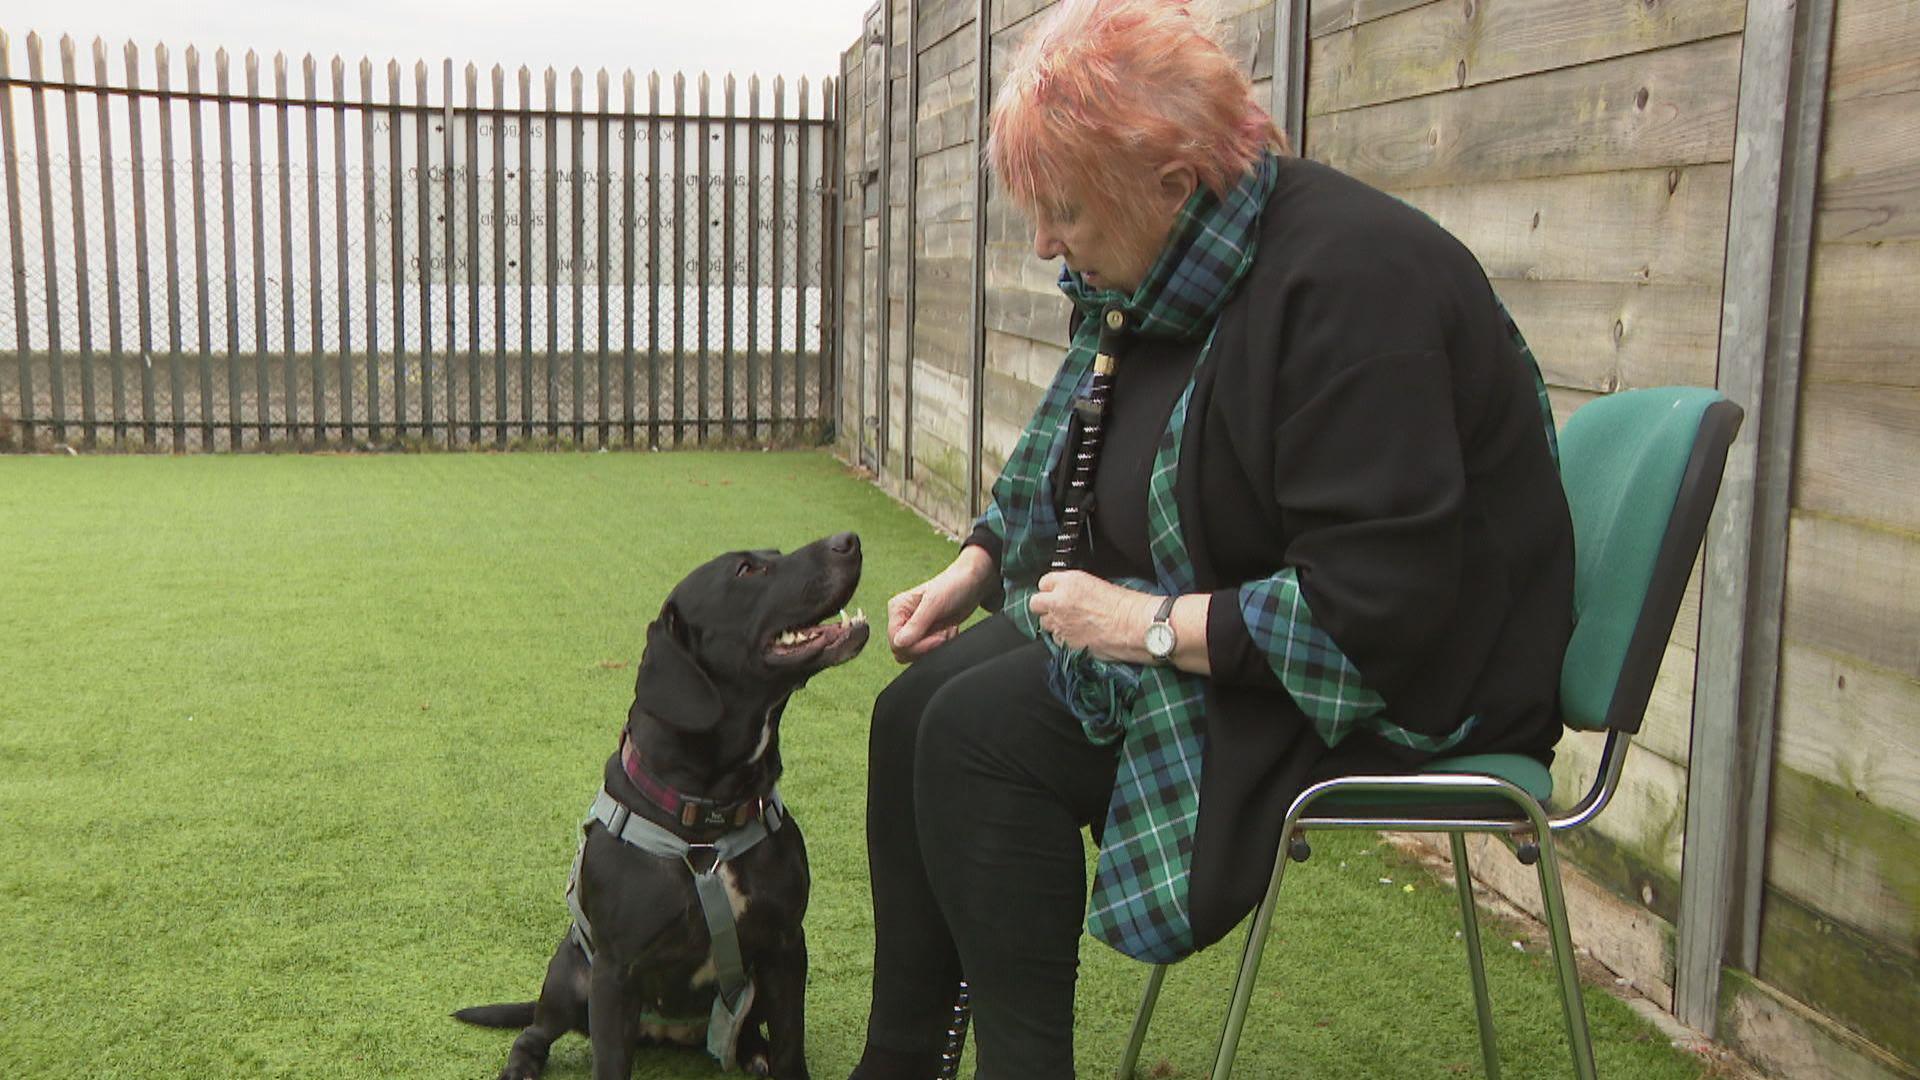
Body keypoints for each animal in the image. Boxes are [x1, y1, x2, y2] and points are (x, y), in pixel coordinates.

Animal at [460, 530, 867, 1076]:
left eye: (776, 555)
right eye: (746, 570)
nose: (849, 539)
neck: (710, 816)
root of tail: (670, 1031)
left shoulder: (786, 948)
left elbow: (790, 1045)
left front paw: (777, 1058)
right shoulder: (615, 972)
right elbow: (610, 1064)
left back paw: (752, 1052)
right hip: (569, 976)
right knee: (533, 1032)